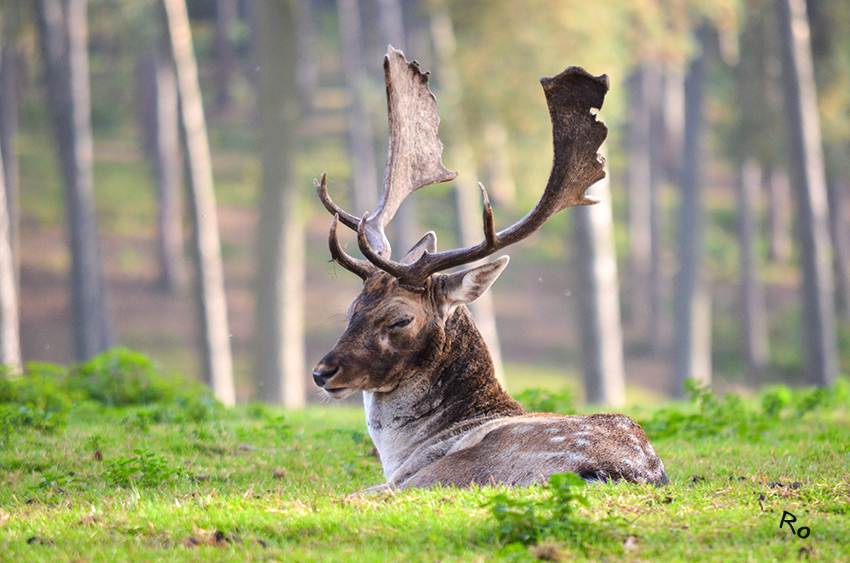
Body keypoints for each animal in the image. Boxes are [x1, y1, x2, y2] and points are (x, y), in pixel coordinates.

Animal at [312, 46, 668, 492]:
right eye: (352, 309)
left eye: (400, 319)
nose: (322, 372)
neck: (403, 454)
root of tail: (624, 473)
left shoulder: (409, 478)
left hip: (467, 467)